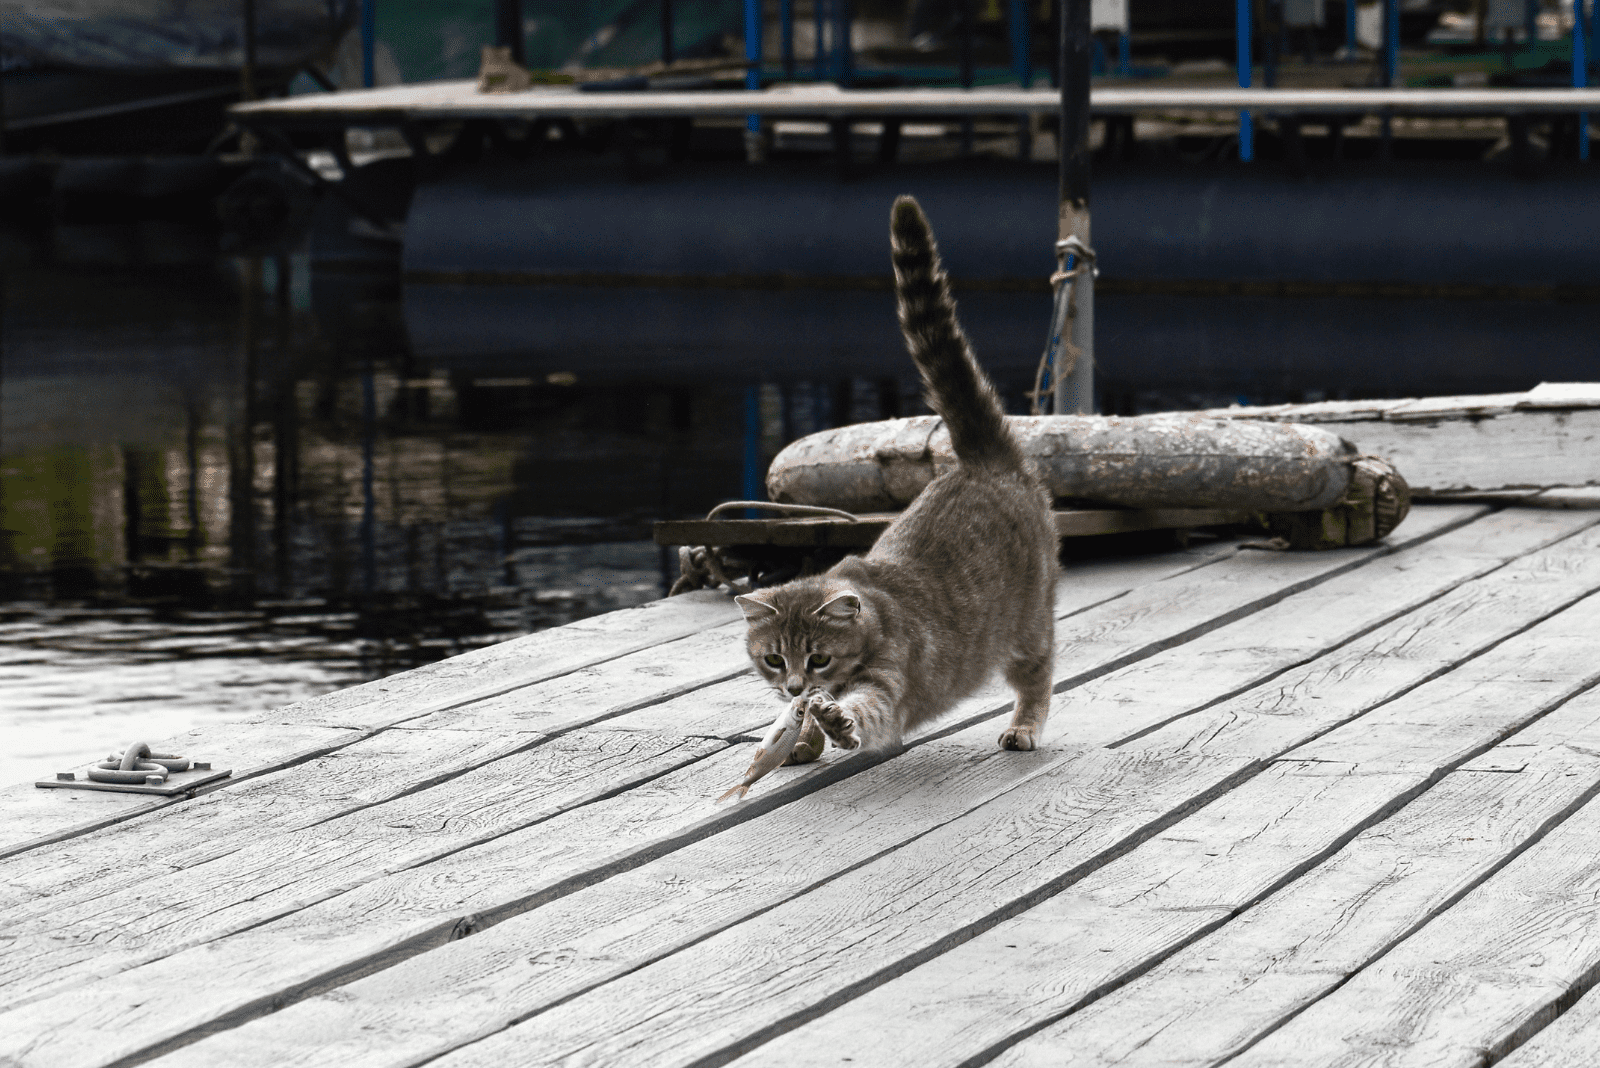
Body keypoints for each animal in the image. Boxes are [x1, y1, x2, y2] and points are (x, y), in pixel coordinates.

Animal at [736, 194, 1062, 757]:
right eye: (773, 659)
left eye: (818, 658)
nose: (795, 687)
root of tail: (982, 459)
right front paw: (803, 736)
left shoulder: (887, 683)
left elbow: (865, 709)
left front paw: (835, 722)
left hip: (1029, 627)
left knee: (1038, 675)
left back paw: (1025, 725)